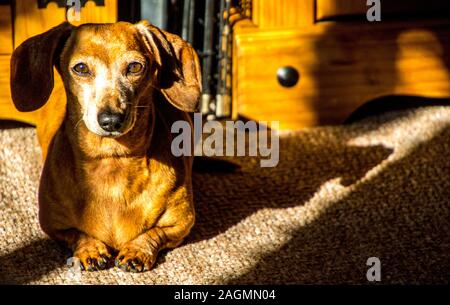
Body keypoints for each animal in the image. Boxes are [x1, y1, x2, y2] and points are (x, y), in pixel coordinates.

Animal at [10, 22, 201, 274]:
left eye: (135, 66)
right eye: (81, 68)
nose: (111, 120)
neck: (112, 160)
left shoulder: (182, 223)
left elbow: (154, 233)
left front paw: (137, 250)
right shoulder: (53, 225)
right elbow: (77, 234)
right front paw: (90, 249)